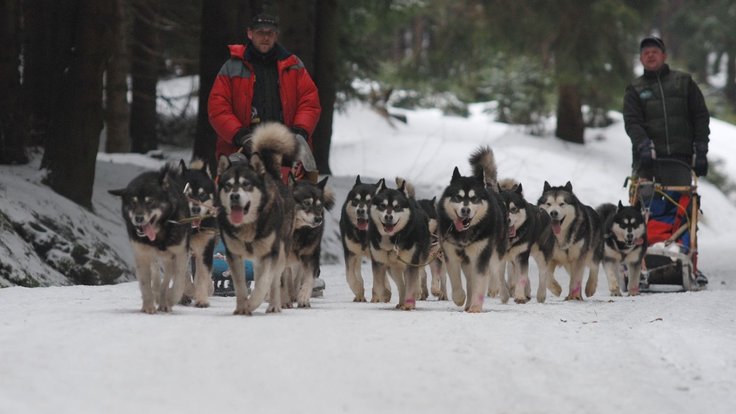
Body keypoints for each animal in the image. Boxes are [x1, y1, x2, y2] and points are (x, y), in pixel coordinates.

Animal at [109, 162, 191, 314]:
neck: (159, 235)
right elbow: (146, 283)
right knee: (156, 276)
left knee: (169, 278)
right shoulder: (142, 255)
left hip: (169, 258)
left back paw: (164, 300)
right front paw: (148, 305)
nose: (138, 218)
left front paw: (170, 299)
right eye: (133, 202)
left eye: (150, 201)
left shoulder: (180, 254)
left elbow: (178, 282)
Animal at [284, 175, 336, 308]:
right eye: (306, 203)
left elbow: (308, 279)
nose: (318, 219)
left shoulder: (311, 256)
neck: (298, 230)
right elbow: (285, 278)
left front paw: (303, 298)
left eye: (319, 205)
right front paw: (285, 299)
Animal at [368, 176, 432, 308]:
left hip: (417, 261)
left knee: (417, 278)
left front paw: (409, 305)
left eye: (397, 207)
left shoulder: (411, 263)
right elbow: (378, 284)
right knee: (401, 285)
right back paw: (402, 302)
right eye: (382, 205)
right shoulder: (379, 262)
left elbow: (411, 284)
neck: (393, 239)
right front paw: (378, 298)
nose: (388, 217)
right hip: (393, 269)